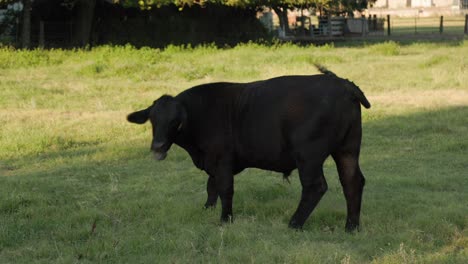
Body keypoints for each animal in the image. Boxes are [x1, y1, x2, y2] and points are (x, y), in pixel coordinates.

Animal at [127, 65, 370, 231]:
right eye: (152, 120)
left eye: (175, 122)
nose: (158, 146)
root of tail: (343, 83)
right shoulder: (213, 162)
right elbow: (211, 187)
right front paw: (207, 210)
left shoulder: (222, 159)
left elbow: (224, 188)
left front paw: (225, 219)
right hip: (347, 149)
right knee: (352, 181)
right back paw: (351, 227)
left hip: (308, 156)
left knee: (315, 187)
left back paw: (294, 223)